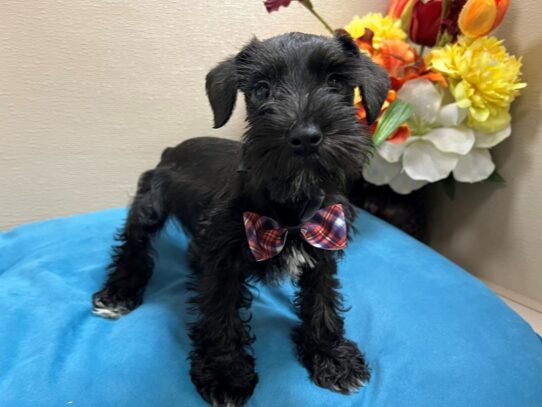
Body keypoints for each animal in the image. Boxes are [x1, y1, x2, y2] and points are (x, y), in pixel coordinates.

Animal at [92, 32, 392, 407]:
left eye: (336, 82)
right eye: (261, 89)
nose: (305, 136)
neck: (289, 206)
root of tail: (171, 151)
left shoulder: (323, 245)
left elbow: (322, 300)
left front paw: (332, 357)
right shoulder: (224, 261)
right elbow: (222, 315)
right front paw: (225, 375)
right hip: (150, 205)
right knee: (134, 245)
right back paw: (118, 294)